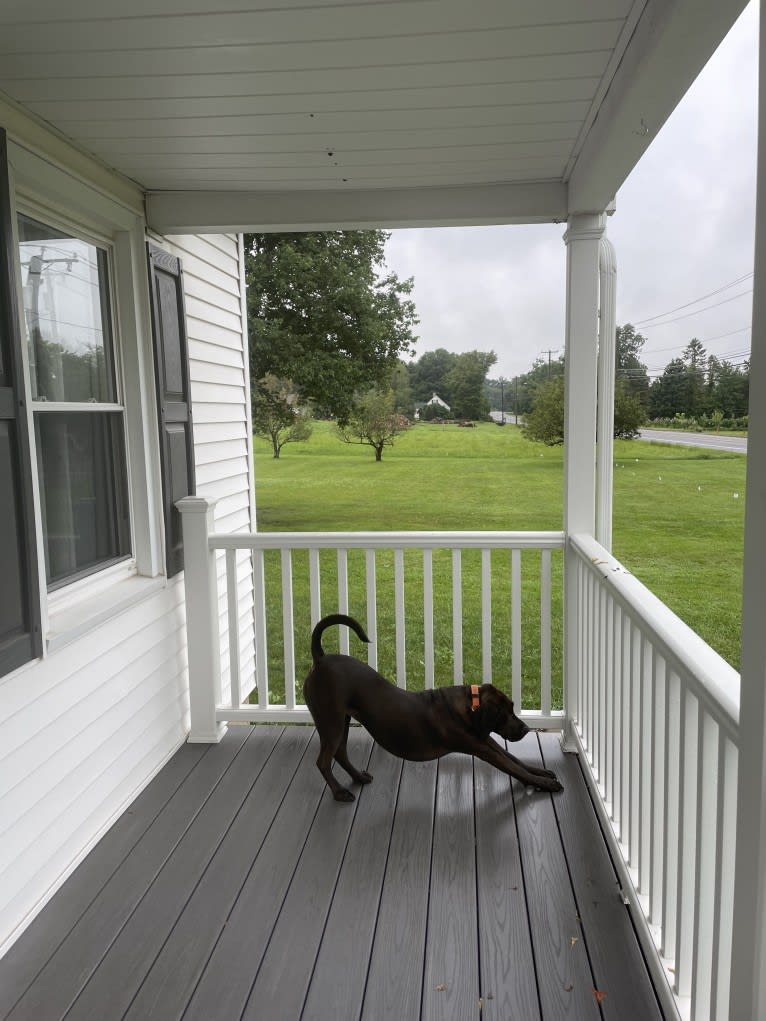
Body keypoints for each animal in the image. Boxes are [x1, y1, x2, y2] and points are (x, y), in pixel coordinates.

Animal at [304, 608, 563, 800]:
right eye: (503, 713)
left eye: (512, 707)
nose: (526, 729)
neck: (470, 706)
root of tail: (320, 660)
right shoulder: (480, 747)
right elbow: (512, 767)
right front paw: (545, 783)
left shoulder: (485, 739)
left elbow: (515, 759)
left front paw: (542, 772)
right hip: (330, 721)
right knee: (323, 761)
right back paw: (339, 792)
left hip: (342, 720)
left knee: (340, 753)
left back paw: (358, 777)